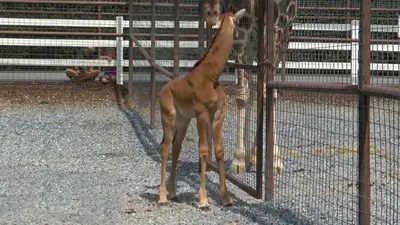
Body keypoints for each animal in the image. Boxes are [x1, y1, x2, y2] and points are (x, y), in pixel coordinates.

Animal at [157, 8, 245, 209]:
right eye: (238, 23)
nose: (243, 41)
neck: (211, 78)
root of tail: (163, 90)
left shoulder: (218, 115)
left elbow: (219, 151)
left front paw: (226, 198)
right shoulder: (202, 115)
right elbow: (204, 151)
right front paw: (203, 199)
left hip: (183, 121)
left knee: (176, 146)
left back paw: (173, 193)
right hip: (168, 117)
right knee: (165, 147)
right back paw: (162, 196)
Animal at [203, 0, 296, 174]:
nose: (211, 13)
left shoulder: (277, 25)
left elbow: (268, 94)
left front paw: (275, 161)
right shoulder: (241, 29)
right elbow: (242, 94)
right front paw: (238, 160)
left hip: (281, 35)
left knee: (262, 90)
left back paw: (256, 156)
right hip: (253, 41)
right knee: (252, 88)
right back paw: (249, 157)